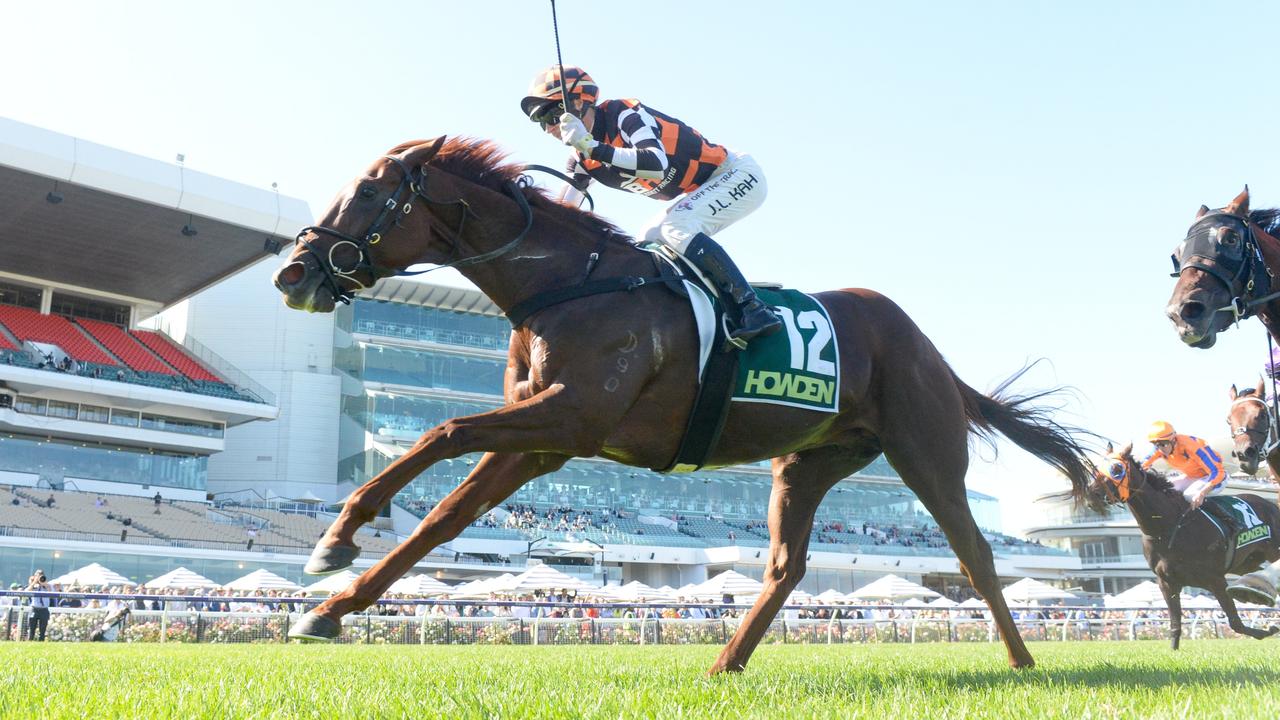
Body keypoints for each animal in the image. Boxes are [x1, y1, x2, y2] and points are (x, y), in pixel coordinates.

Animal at [270, 137, 1090, 671]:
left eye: (368, 193)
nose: (293, 272)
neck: (569, 282)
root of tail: (929, 350)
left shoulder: (572, 419)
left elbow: (441, 429)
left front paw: (336, 537)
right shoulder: (543, 444)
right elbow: (443, 516)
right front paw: (328, 606)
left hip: (926, 454)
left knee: (977, 555)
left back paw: (1023, 664)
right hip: (806, 464)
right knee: (785, 567)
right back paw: (725, 664)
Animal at [1090, 443, 1280, 645]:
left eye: (1117, 469)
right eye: (1096, 468)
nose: (1092, 494)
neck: (1167, 526)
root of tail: (1271, 505)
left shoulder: (1215, 580)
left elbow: (1236, 623)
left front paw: (1268, 629)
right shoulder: (1167, 582)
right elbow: (1175, 626)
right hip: (1246, 563)